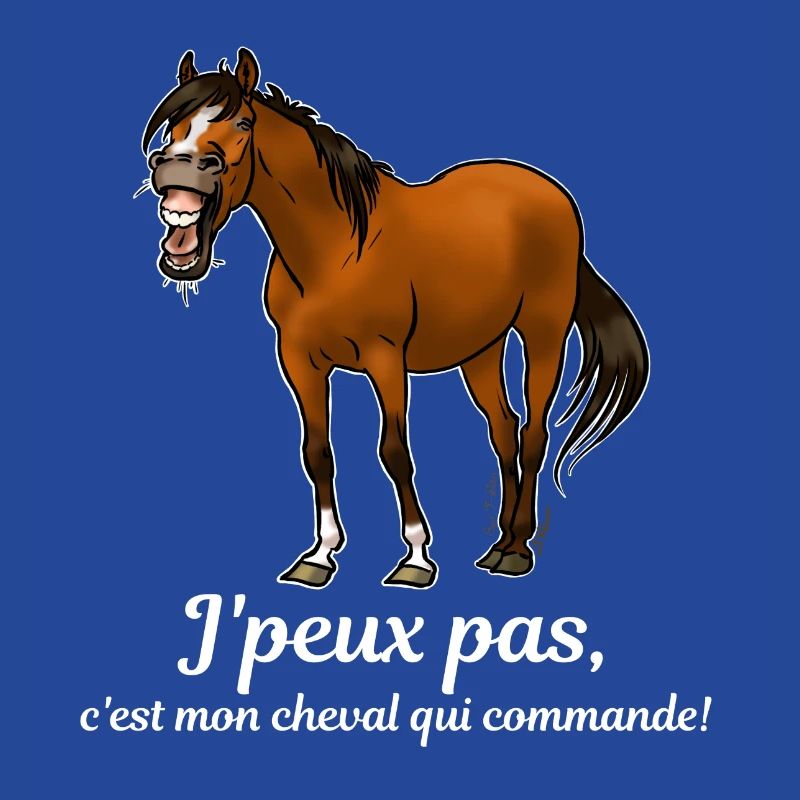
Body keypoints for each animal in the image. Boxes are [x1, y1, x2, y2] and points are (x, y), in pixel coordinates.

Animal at [142, 48, 649, 590]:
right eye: (175, 124)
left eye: (241, 121)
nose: (175, 165)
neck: (336, 250)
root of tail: (552, 193)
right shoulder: (300, 361)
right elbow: (317, 453)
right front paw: (319, 555)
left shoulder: (385, 359)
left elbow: (395, 453)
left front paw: (416, 558)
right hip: (481, 349)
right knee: (504, 428)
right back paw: (499, 543)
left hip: (543, 332)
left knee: (533, 432)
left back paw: (517, 550)